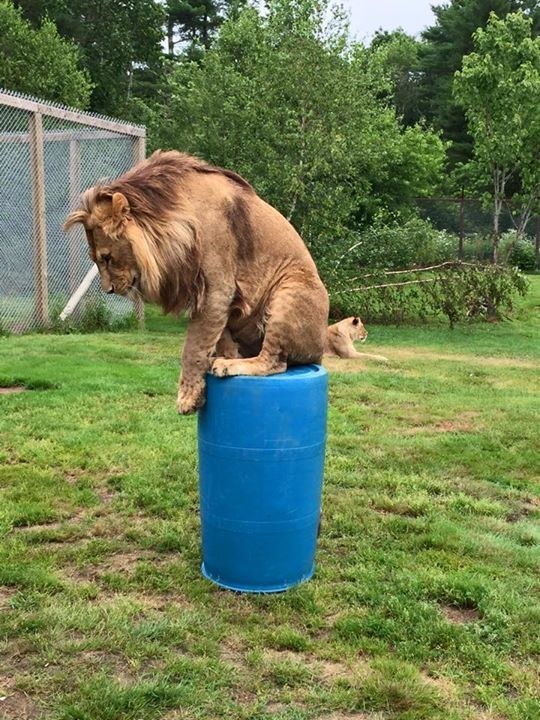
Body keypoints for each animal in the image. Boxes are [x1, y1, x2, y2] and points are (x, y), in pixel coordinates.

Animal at [64, 150, 329, 414]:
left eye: (107, 258)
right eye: (96, 260)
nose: (108, 290)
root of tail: (319, 348)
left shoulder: (217, 288)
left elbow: (193, 346)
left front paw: (188, 396)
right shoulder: (212, 297)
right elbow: (218, 336)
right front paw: (224, 358)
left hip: (290, 290)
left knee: (274, 362)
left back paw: (233, 366)